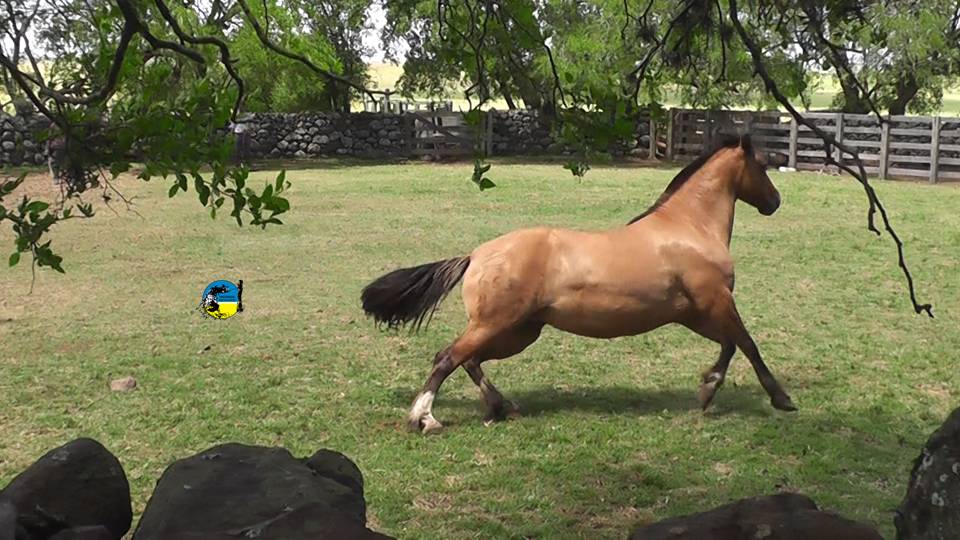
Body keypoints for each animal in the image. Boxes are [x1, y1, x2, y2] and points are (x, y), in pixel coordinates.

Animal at [361, 133, 794, 434]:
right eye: (763, 165)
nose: (775, 202)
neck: (689, 228)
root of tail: (476, 255)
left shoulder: (694, 312)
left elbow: (729, 345)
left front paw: (707, 389)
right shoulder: (716, 299)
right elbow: (747, 344)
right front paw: (781, 398)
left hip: (519, 331)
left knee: (469, 360)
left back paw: (502, 407)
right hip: (497, 325)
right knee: (447, 357)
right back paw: (425, 419)